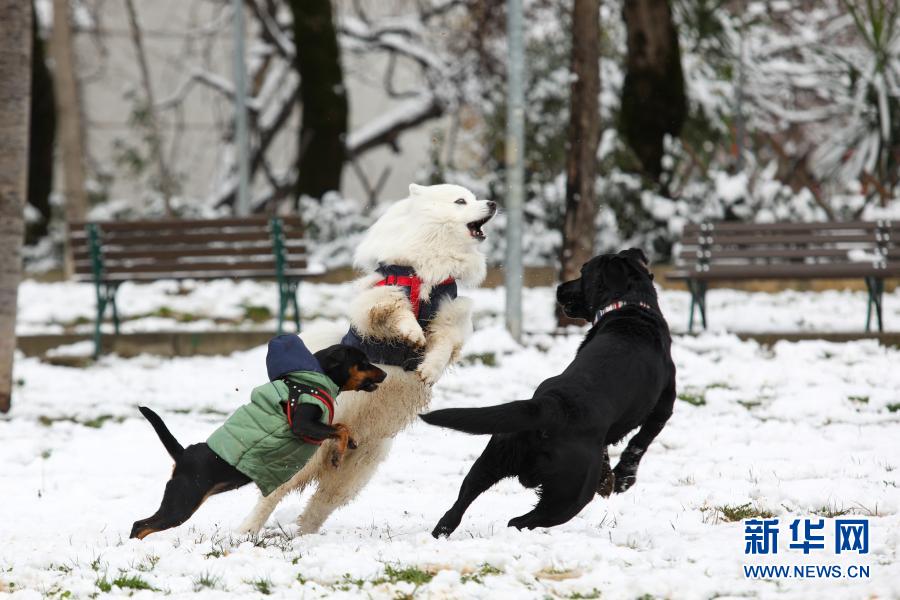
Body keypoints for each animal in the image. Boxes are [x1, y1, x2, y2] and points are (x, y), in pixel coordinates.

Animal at [131, 342, 386, 540]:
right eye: (363, 362)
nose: (385, 374)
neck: (311, 379)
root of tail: (183, 454)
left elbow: (341, 427)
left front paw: (350, 443)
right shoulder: (303, 424)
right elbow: (339, 429)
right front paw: (337, 455)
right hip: (182, 503)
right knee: (139, 525)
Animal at [237, 183, 500, 536]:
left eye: (474, 197)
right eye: (461, 201)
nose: (493, 203)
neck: (428, 267)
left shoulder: (451, 314)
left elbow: (443, 345)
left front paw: (428, 370)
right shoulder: (379, 299)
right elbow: (397, 312)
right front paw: (412, 333)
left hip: (356, 469)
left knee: (320, 504)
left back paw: (303, 536)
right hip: (306, 454)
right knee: (274, 492)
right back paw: (246, 531)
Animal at [418, 246, 672, 536]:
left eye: (583, 272)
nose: (560, 288)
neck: (630, 307)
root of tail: (554, 405)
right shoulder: (664, 405)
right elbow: (640, 441)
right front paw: (622, 480)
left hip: (493, 457)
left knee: (461, 501)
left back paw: (442, 531)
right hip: (570, 495)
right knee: (520, 521)